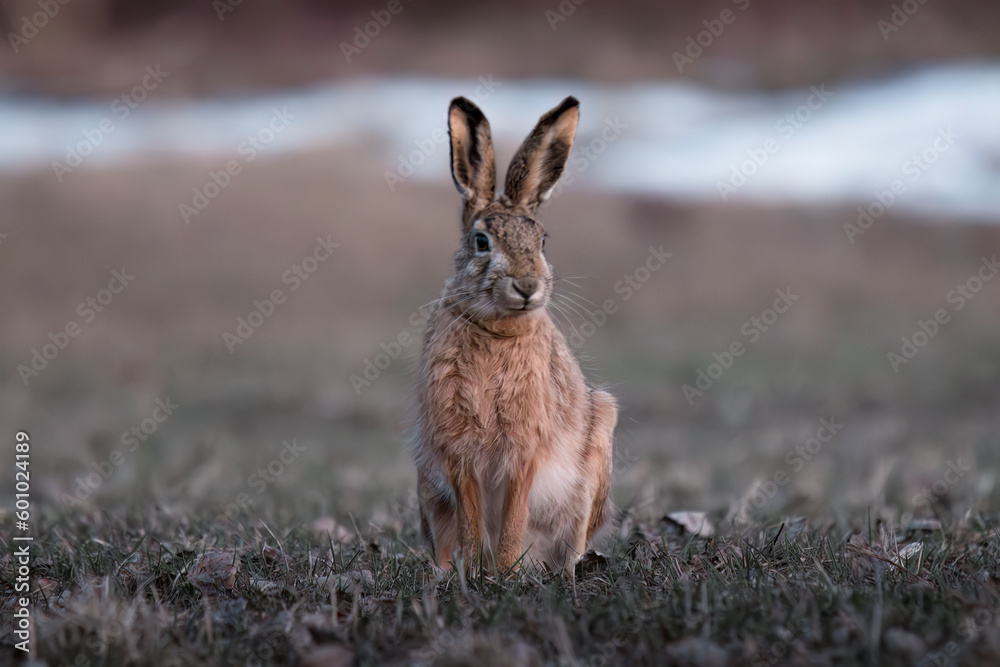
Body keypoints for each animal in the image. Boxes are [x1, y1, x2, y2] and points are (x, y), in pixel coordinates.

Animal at [412, 95, 618, 573]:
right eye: (481, 241)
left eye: (542, 241)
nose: (527, 285)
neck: (496, 329)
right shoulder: (455, 450)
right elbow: (471, 519)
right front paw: (476, 571)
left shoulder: (525, 449)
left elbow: (514, 514)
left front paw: (505, 571)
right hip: (426, 486)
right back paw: (445, 572)